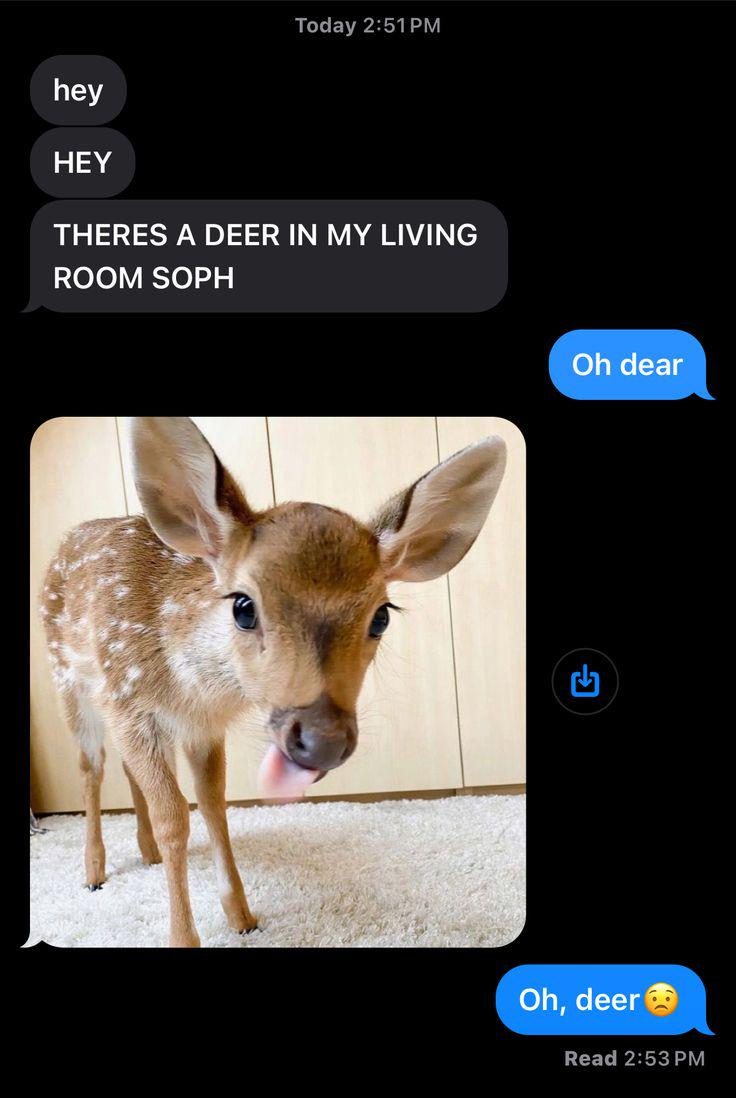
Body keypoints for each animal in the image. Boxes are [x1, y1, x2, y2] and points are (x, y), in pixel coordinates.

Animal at [40, 417, 507, 947]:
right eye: (243, 605)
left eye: (382, 616)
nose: (323, 741)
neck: (192, 687)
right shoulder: (130, 702)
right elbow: (174, 817)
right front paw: (183, 936)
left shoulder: (201, 727)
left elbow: (213, 805)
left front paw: (242, 915)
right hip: (69, 682)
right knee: (89, 767)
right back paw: (93, 871)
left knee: (123, 769)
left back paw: (145, 853)